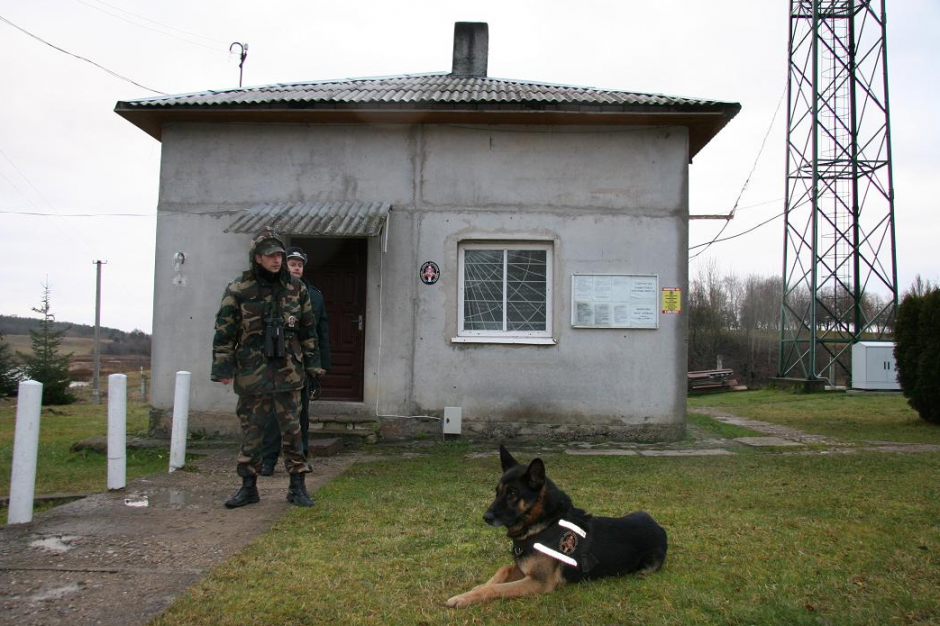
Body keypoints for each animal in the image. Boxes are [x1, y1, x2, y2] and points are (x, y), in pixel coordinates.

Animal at [448, 444, 668, 604]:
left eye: (512, 493)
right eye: (497, 491)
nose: (485, 517)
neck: (544, 523)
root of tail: (659, 528)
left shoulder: (538, 582)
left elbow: (496, 588)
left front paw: (463, 598)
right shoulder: (524, 569)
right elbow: (502, 570)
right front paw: (476, 587)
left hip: (650, 560)